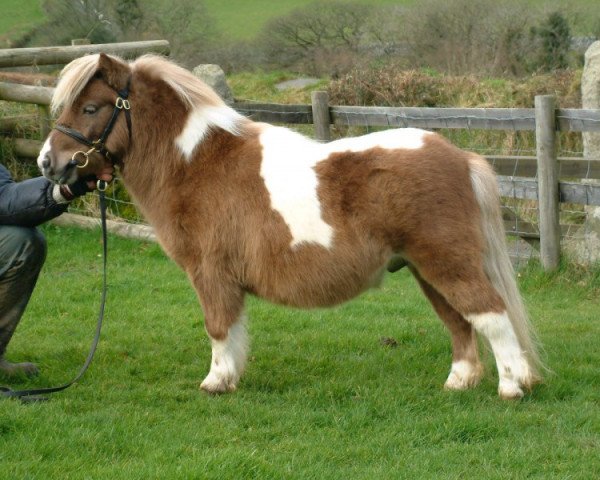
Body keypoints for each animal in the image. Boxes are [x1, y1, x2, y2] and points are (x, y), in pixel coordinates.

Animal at [37, 53, 544, 398]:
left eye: (91, 108)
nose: (48, 163)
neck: (199, 163)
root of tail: (459, 156)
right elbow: (232, 330)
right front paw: (230, 376)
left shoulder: (210, 273)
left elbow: (218, 327)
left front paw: (216, 382)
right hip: (426, 270)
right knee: (460, 322)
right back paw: (460, 382)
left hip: (447, 264)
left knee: (490, 315)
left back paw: (512, 387)